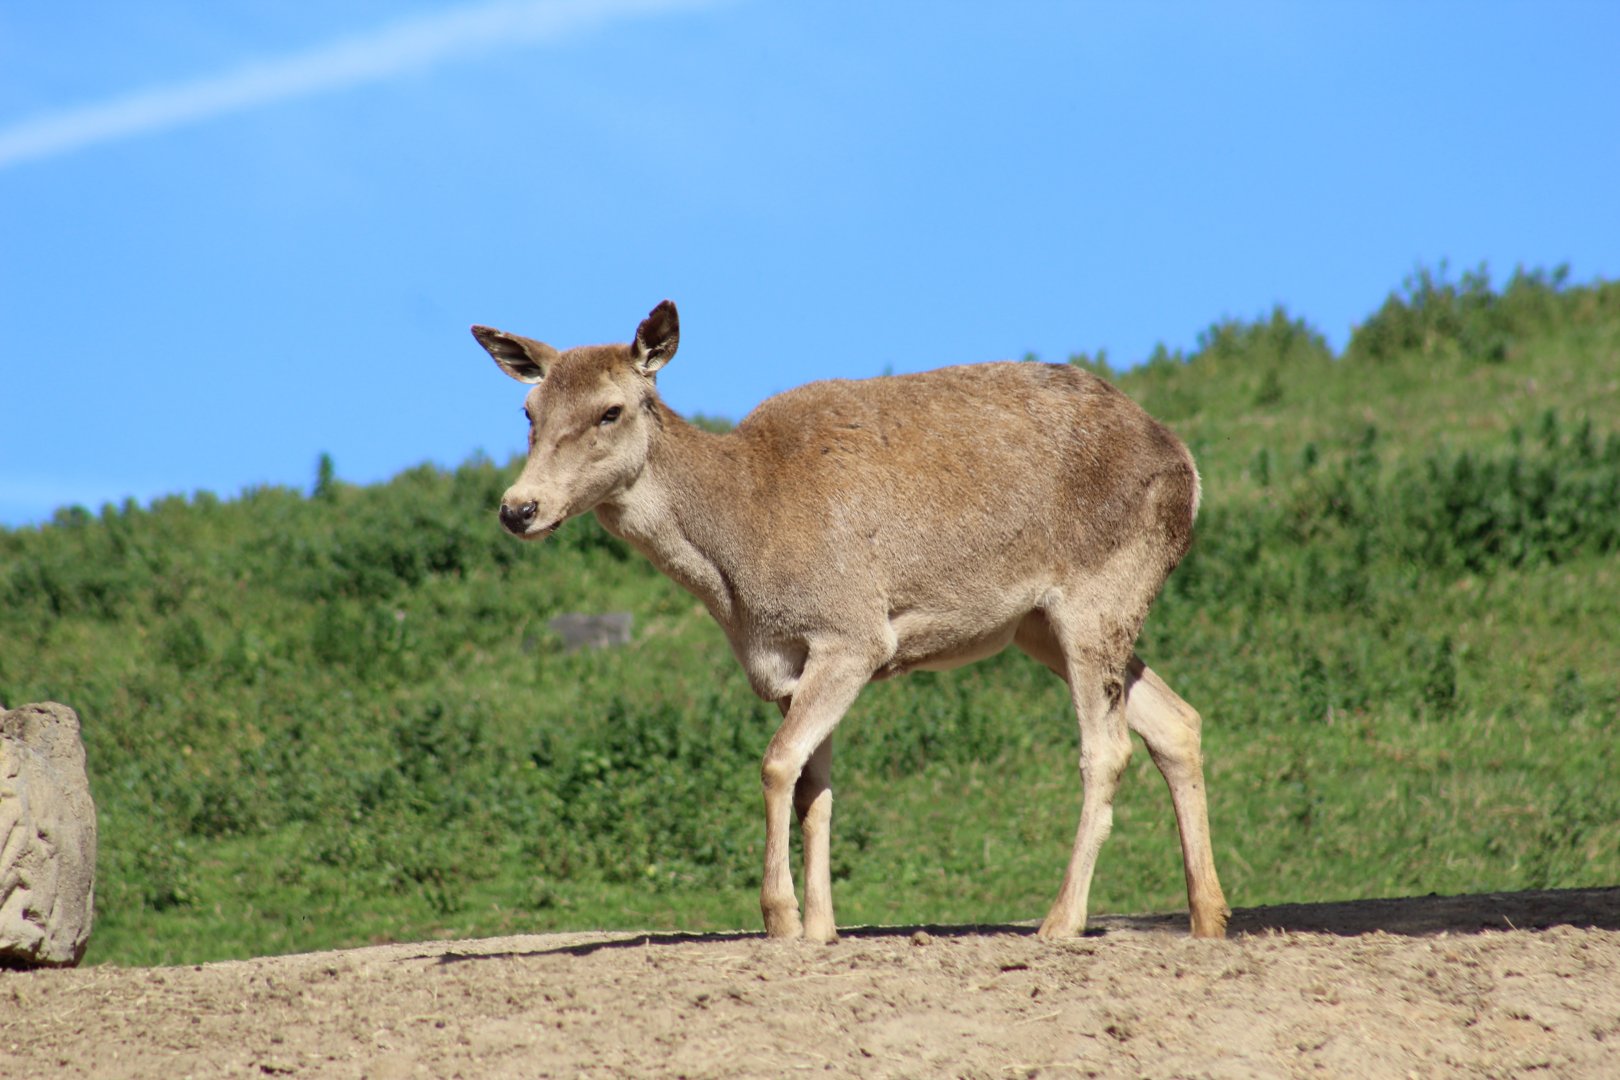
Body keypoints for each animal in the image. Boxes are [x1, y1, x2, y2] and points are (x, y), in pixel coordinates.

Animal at [471, 300, 1229, 944]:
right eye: (528, 408)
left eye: (611, 410)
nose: (519, 508)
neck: (739, 565)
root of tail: (1188, 468)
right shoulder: (787, 663)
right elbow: (816, 788)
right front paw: (821, 927)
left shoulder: (853, 631)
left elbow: (777, 764)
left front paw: (779, 918)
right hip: (1042, 625)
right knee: (1176, 720)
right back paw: (1208, 916)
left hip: (1098, 593)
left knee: (1108, 749)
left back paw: (1060, 921)